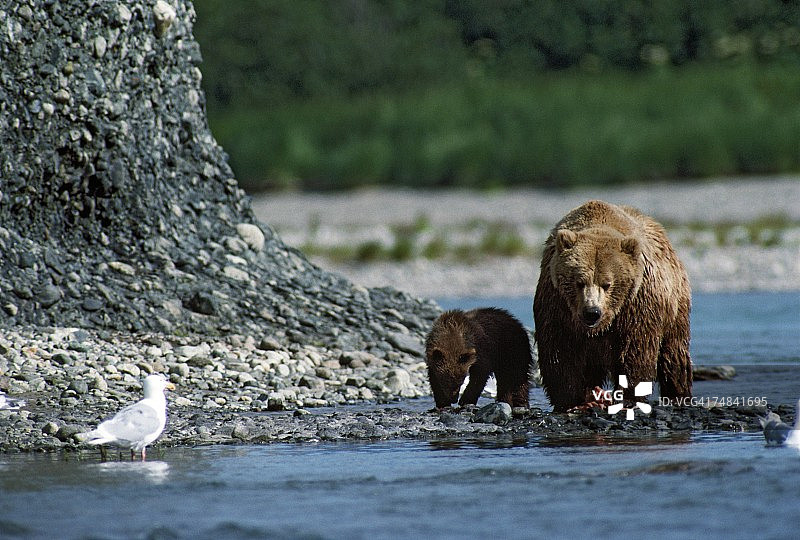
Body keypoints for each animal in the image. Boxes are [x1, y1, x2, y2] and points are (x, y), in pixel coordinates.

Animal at [533, 200, 692, 412]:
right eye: (579, 282)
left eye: (607, 284)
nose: (592, 312)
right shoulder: (557, 302)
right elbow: (561, 349)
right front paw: (573, 401)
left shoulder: (637, 302)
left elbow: (635, 350)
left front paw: (628, 397)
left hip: (675, 307)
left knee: (673, 355)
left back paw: (679, 394)